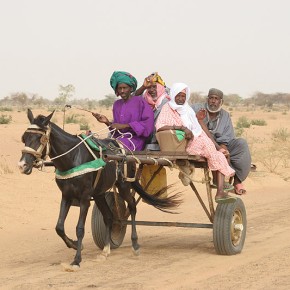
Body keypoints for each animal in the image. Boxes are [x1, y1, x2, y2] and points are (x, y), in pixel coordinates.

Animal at [18, 109, 180, 270]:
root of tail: (126, 151)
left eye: (41, 138)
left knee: (132, 206)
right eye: (24, 137)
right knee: (109, 216)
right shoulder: (66, 195)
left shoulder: (84, 198)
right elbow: (59, 227)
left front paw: (77, 260)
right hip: (99, 194)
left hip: (123, 185)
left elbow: (80, 229)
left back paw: (135, 244)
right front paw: (74, 245)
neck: (73, 158)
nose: (22, 166)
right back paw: (106, 250)